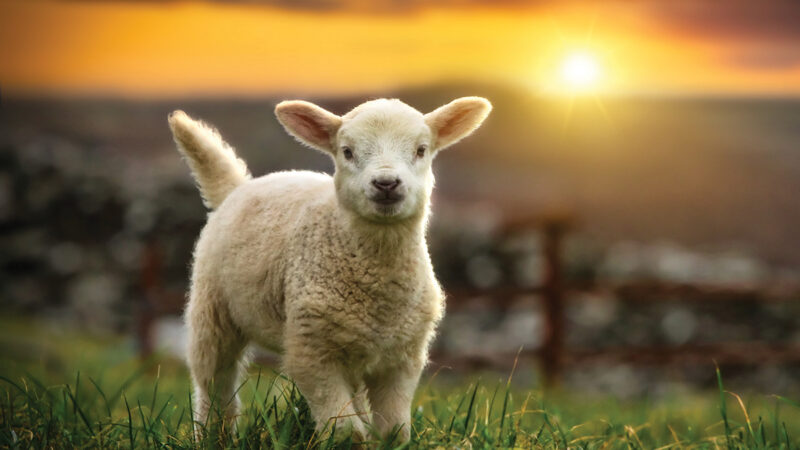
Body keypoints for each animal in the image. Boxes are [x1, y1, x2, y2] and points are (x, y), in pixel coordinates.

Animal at [167, 96, 491, 442]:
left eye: (421, 150)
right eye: (347, 151)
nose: (386, 183)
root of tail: (239, 187)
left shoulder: (403, 357)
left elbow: (393, 430)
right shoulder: (312, 351)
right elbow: (346, 432)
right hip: (212, 309)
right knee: (214, 380)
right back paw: (213, 435)